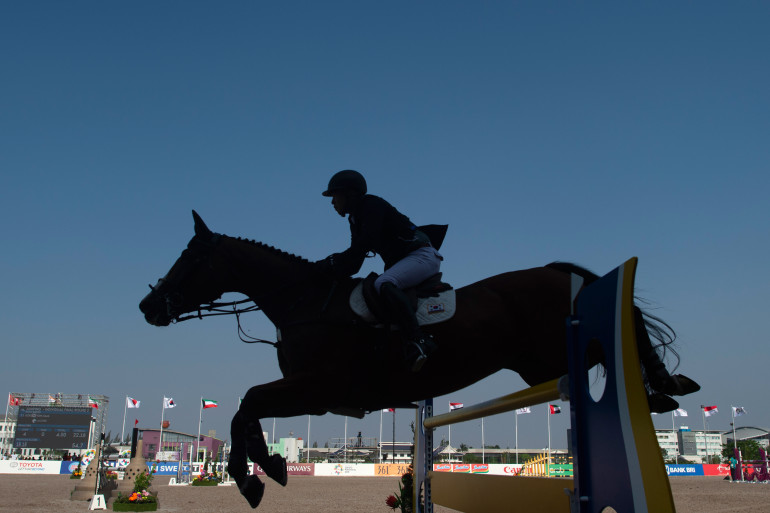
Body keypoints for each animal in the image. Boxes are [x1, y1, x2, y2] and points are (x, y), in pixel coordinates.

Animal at [138, 212, 696, 508]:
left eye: (190, 258)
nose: (148, 307)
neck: (305, 304)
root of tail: (556, 270)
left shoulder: (317, 388)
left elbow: (246, 404)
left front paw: (254, 475)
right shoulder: (313, 396)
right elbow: (246, 409)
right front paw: (267, 465)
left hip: (558, 353)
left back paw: (661, 388)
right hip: (540, 366)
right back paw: (664, 390)